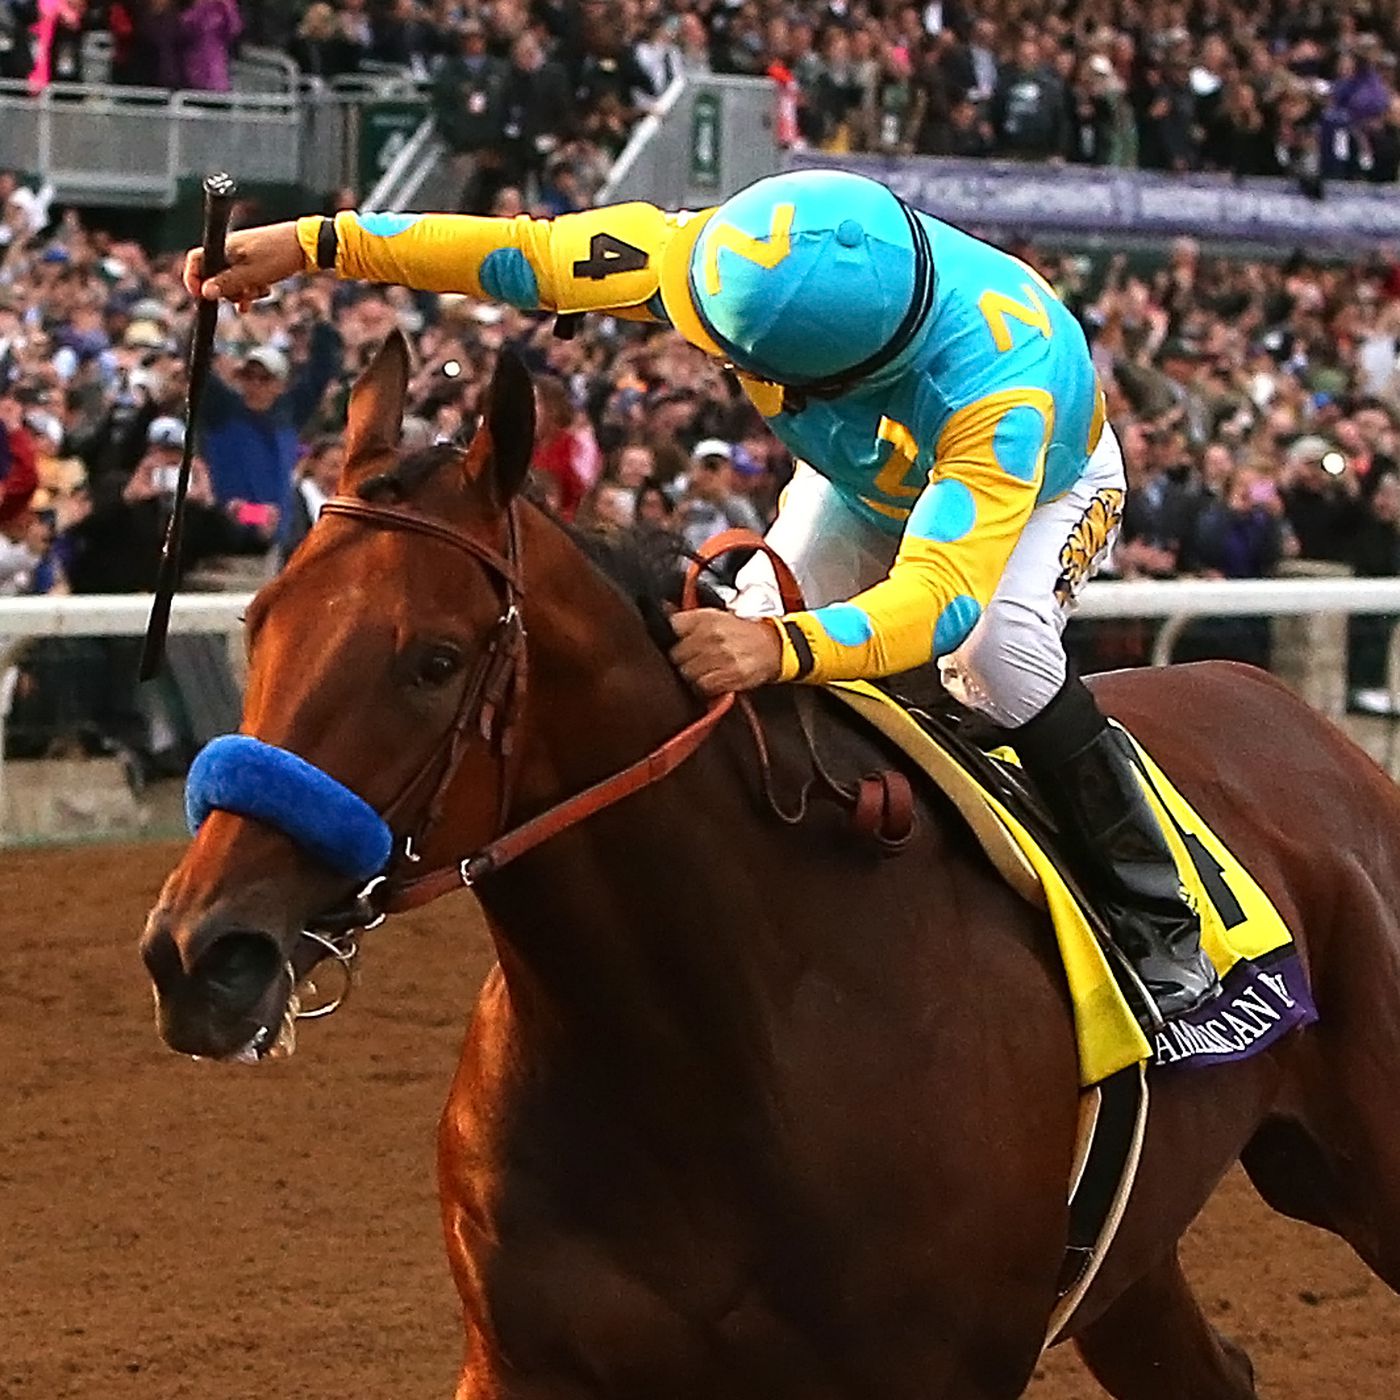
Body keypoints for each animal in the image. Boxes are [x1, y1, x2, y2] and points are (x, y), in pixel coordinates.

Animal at [139, 333, 1400, 1394]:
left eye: (435, 659)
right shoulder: (518, 1358)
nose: (201, 953)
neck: (710, 1036)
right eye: (257, 621)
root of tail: (1299, 719)